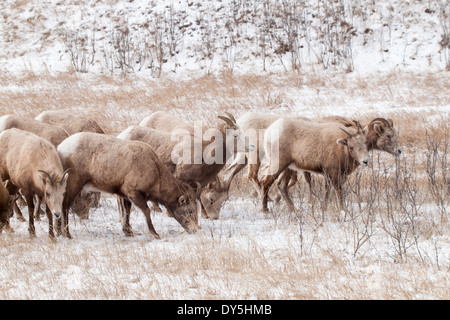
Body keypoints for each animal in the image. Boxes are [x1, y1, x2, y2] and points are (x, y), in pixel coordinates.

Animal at [57, 131, 200, 239]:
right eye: (191, 211)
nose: (194, 230)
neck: (155, 172)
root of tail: (60, 148)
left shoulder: (125, 195)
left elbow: (126, 213)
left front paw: (128, 231)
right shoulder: (134, 193)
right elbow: (146, 211)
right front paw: (154, 234)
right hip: (73, 185)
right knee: (64, 206)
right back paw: (67, 234)